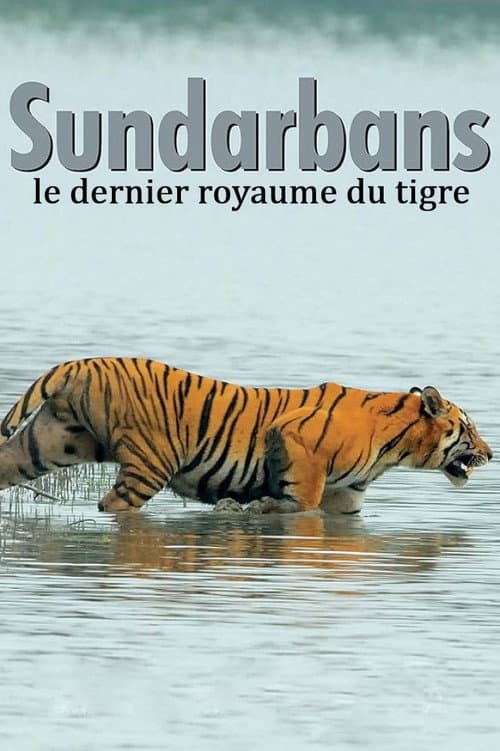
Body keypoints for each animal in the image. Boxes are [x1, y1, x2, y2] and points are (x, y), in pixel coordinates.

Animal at [0, 357, 493, 514]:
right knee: (113, 505)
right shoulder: (296, 440)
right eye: (469, 429)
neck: (394, 448)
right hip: (149, 464)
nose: (491, 453)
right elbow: (302, 504)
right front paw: (255, 508)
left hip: (46, 443)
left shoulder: (348, 500)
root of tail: (81, 364)